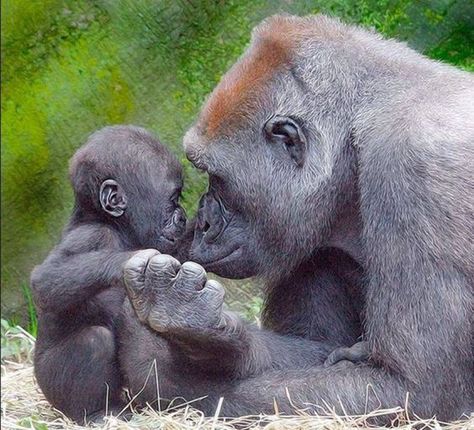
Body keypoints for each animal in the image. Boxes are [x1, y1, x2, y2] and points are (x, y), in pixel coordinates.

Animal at [30, 125, 187, 424]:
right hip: (49, 384)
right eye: (173, 200)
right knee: (94, 342)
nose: (183, 217)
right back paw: (96, 413)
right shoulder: (93, 236)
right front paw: (131, 261)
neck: (112, 223)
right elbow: (45, 280)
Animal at [119, 15, 474, 422]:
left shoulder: (416, 166)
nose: (202, 224)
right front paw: (216, 346)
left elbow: (414, 388)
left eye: (217, 177)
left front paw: (172, 372)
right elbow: (318, 344)